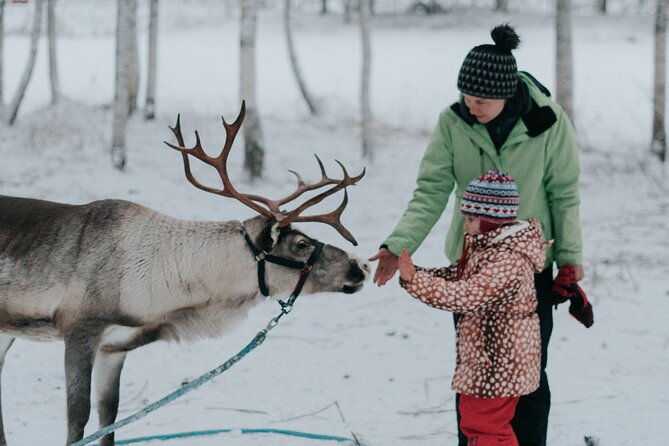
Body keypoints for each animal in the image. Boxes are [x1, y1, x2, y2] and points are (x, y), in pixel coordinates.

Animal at [0, 102, 369, 446]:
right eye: (301, 244)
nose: (361, 265)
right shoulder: (80, 329)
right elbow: (78, 419)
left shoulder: (115, 347)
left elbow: (109, 416)